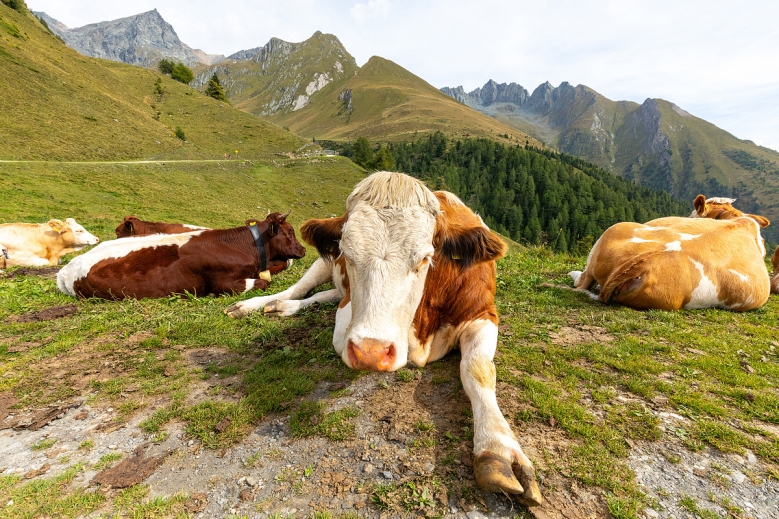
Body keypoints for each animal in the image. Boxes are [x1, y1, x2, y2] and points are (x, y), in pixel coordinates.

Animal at [224, 173, 544, 506]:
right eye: (348, 254)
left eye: (425, 258)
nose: (371, 353)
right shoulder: (347, 316)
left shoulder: (483, 314)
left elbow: (477, 369)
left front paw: (497, 450)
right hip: (322, 264)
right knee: (298, 289)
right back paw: (258, 305)